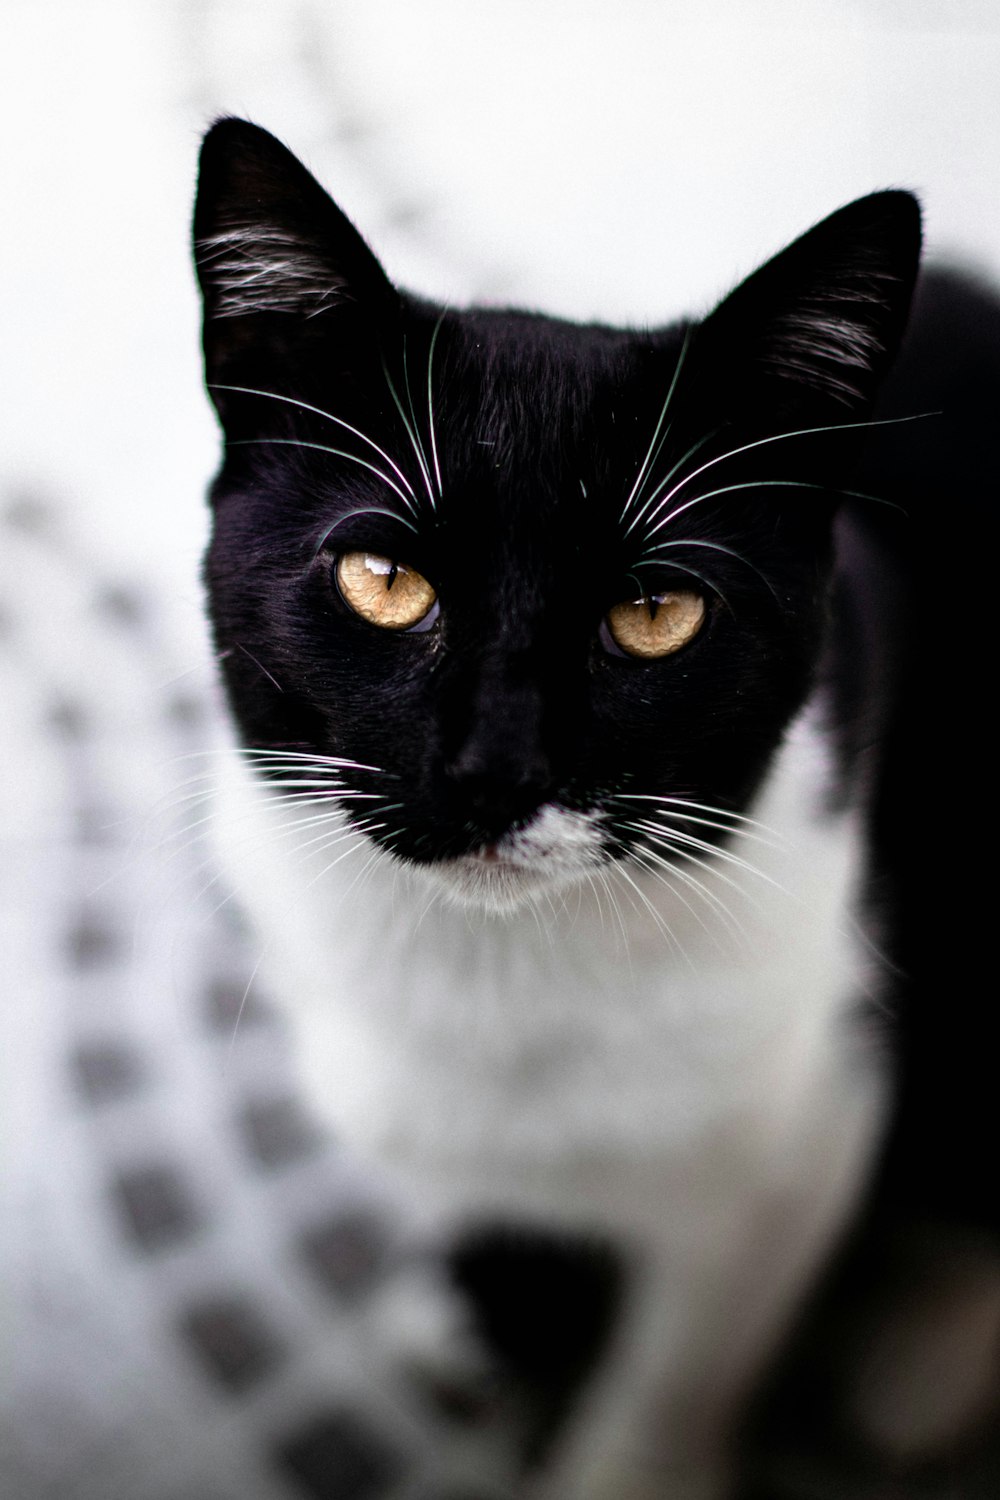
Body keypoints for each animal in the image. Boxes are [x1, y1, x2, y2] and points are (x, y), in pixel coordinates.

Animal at [193, 120, 1000, 1500]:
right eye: (382, 579)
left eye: (655, 613)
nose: (493, 770)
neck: (502, 968)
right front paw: (485, 1311)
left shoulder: (802, 1129)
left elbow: (677, 1366)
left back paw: (919, 1367)